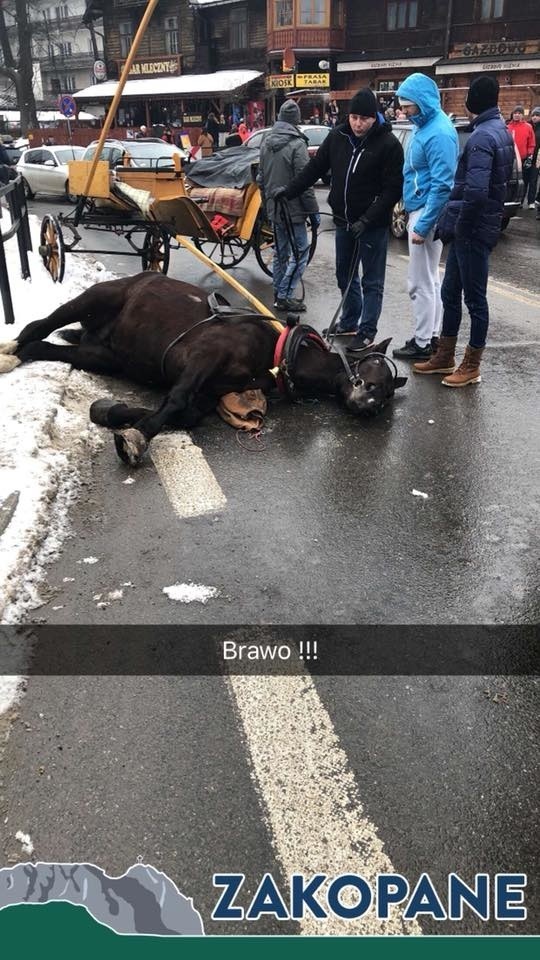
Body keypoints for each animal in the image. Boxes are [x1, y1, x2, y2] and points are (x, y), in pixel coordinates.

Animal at [0, 274, 404, 464]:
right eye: (375, 372)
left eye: (387, 395)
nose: (370, 408)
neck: (275, 354)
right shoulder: (203, 357)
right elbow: (177, 401)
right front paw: (137, 436)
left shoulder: (210, 391)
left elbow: (186, 414)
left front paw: (115, 412)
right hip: (92, 299)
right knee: (38, 326)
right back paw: (10, 351)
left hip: (102, 356)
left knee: (43, 346)